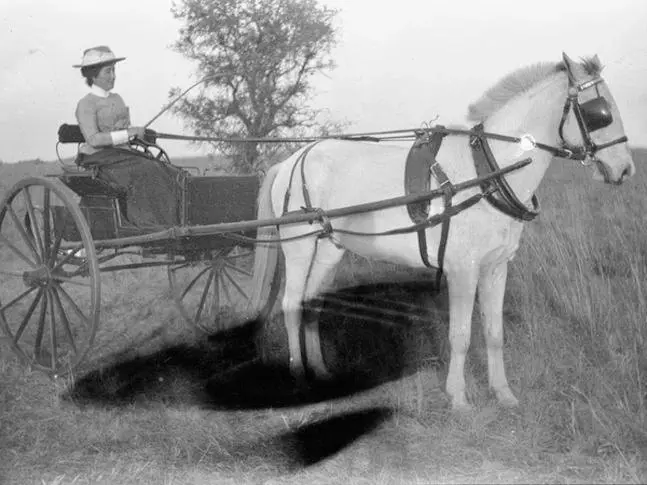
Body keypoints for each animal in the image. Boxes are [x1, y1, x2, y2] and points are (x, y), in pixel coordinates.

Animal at [251, 53, 636, 408]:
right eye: (599, 112)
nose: (625, 169)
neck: (487, 173)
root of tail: (292, 159)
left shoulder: (496, 267)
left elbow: (494, 332)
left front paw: (503, 393)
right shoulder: (462, 269)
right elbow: (461, 335)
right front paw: (459, 397)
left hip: (330, 250)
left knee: (312, 305)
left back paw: (320, 371)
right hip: (299, 248)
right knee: (291, 305)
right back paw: (299, 376)